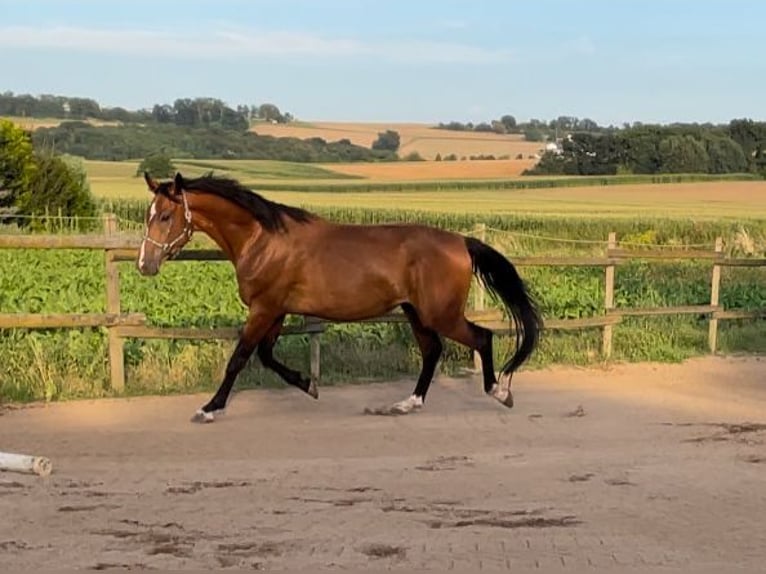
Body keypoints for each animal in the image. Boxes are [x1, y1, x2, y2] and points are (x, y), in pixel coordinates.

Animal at [140, 171, 544, 424]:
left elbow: (239, 358)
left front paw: (209, 408)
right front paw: (309, 384)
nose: (145, 264)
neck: (264, 240)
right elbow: (267, 356)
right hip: (416, 312)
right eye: (148, 215)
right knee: (433, 351)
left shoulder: (264, 308)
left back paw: (499, 392)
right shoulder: (277, 310)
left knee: (481, 337)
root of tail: (461, 241)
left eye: (164, 216)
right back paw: (405, 405)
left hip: (438, 313)